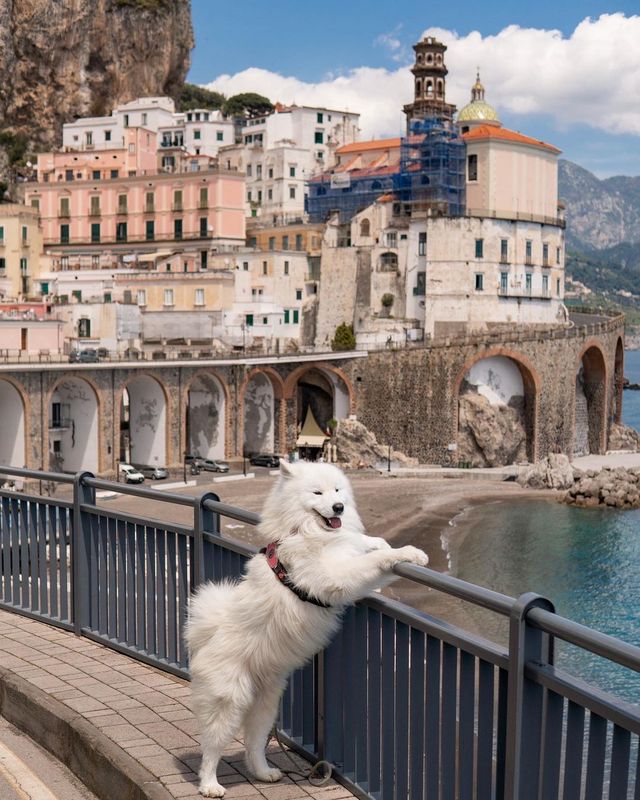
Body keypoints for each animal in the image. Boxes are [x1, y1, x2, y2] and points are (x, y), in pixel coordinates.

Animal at [186, 460, 430, 796]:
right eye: (318, 493)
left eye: (338, 490)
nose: (339, 507)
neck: (304, 529)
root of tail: (204, 634)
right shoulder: (335, 576)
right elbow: (376, 560)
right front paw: (408, 552)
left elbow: (360, 541)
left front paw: (375, 541)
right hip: (228, 701)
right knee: (211, 747)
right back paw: (210, 785)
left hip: (266, 703)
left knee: (253, 743)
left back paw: (264, 773)